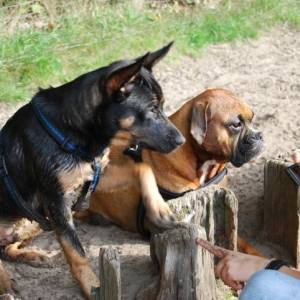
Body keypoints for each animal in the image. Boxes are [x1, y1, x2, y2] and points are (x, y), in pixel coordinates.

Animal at [0, 44, 184, 298]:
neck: (72, 130)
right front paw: (91, 285)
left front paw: (158, 207)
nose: (182, 141)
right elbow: (76, 252)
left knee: (5, 249)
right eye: (151, 109)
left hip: (34, 220)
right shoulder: (57, 203)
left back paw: (30, 256)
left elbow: (143, 168)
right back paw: (5, 282)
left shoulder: (98, 176)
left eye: (163, 107)